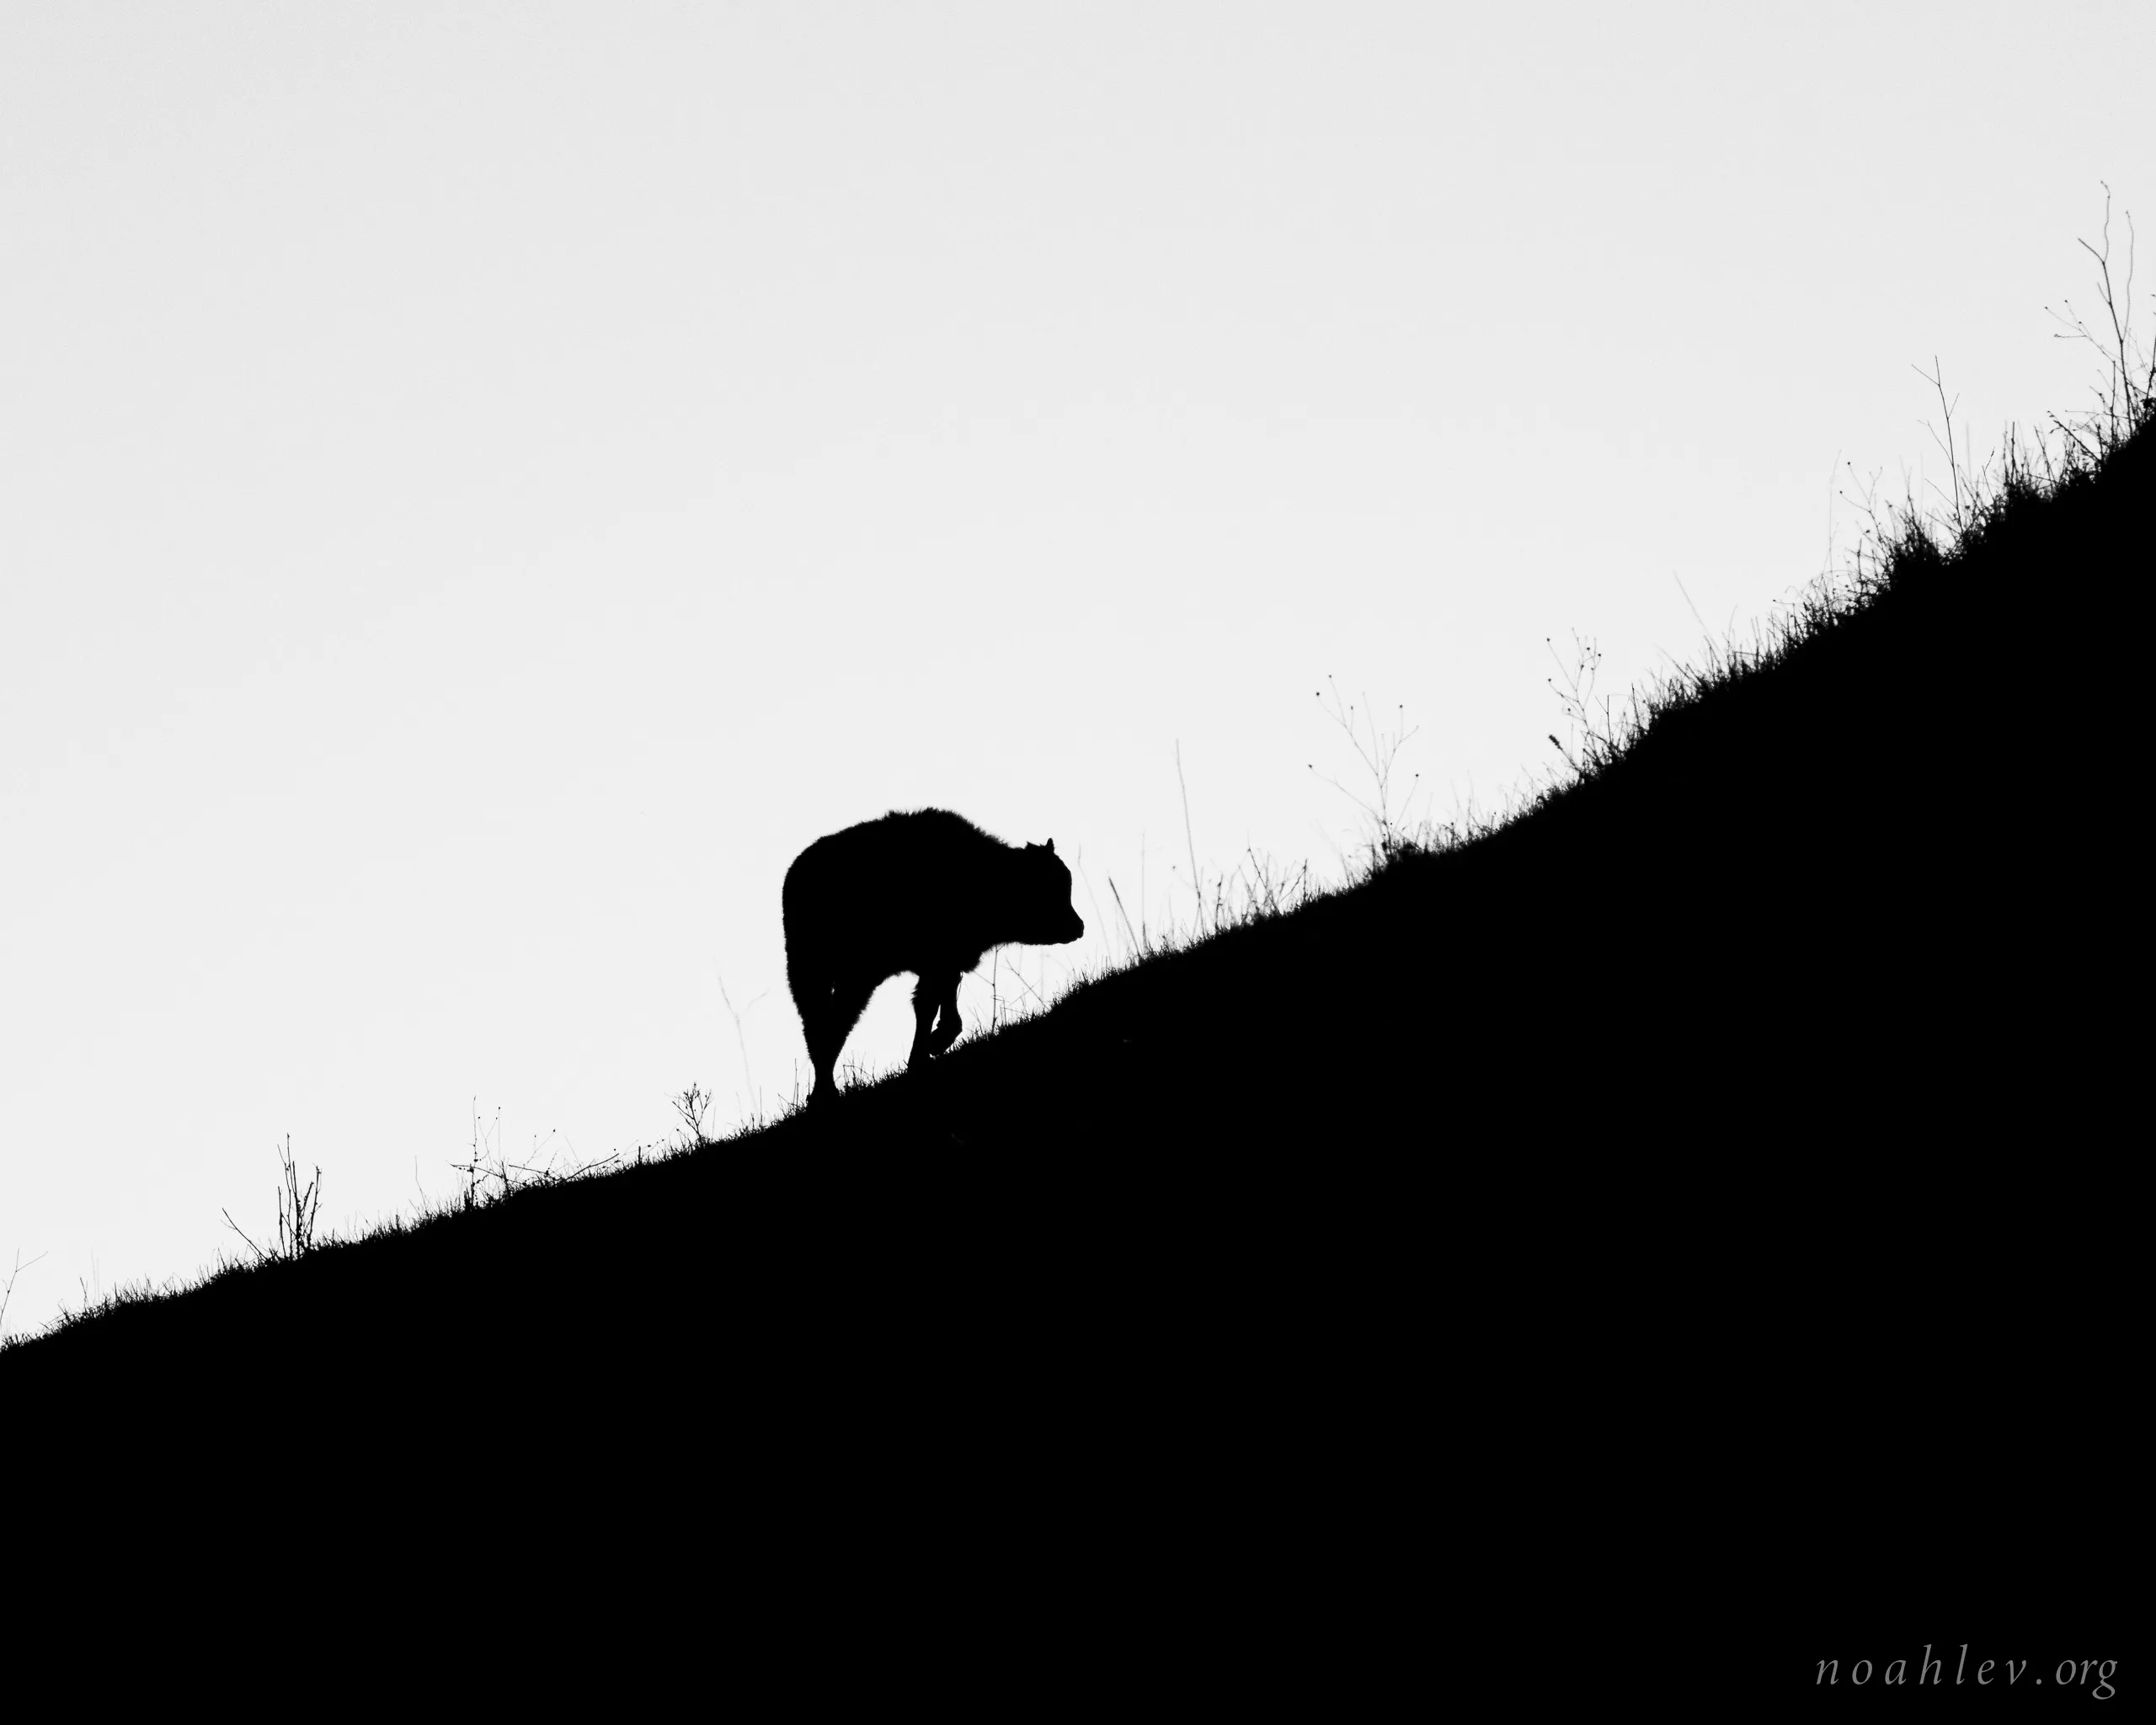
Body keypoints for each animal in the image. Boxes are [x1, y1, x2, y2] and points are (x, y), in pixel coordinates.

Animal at [783, 808, 1085, 1104]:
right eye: (1046, 889)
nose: (1078, 927)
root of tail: (797, 872)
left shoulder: (945, 964)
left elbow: (935, 1003)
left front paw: (927, 1050)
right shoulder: (937, 962)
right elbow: (930, 1004)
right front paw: (931, 1047)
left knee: (823, 1025)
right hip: (833, 976)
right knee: (830, 1026)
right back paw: (823, 1094)